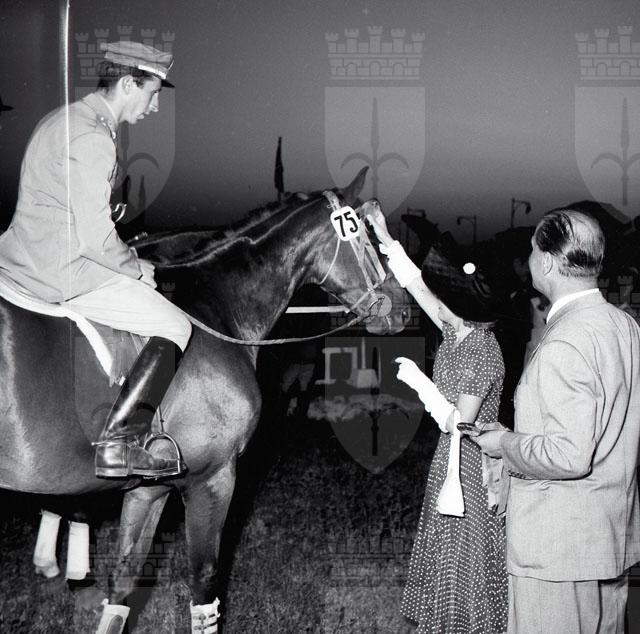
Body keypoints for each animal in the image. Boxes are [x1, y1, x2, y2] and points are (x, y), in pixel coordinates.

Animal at [0, 168, 411, 632]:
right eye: (370, 239)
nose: (402, 308)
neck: (215, 308)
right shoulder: (211, 478)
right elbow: (204, 583)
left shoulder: (150, 488)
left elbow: (123, 581)